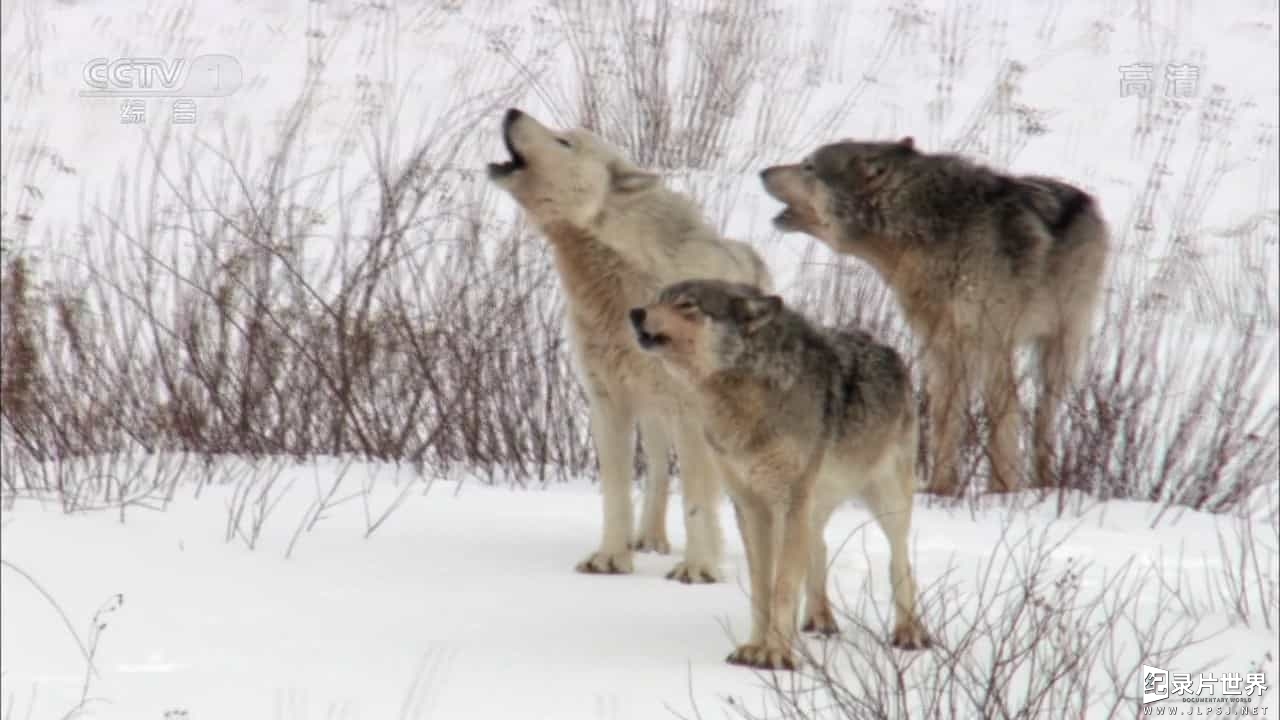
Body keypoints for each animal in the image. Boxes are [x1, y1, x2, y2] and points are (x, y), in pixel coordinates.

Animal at [486, 106, 768, 576]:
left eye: (565, 142)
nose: (511, 111)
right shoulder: (607, 403)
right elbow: (616, 494)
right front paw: (609, 559)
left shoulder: (691, 412)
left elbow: (697, 500)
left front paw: (697, 569)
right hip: (653, 414)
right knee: (657, 473)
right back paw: (650, 540)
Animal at [629, 279, 931, 666]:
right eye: (658, 299)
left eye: (687, 305)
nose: (635, 312)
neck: (745, 398)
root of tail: (888, 348)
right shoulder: (751, 506)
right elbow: (763, 587)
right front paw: (754, 647)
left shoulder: (790, 501)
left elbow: (784, 586)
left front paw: (775, 655)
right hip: (812, 506)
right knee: (820, 547)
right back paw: (819, 620)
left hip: (886, 502)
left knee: (900, 561)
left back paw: (909, 632)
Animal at [757, 136, 1111, 489]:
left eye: (808, 166)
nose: (762, 171)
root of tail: (1088, 200)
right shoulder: (941, 349)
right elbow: (945, 423)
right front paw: (942, 490)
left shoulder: (990, 343)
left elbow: (1001, 420)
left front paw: (1000, 492)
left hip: (1057, 352)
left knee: (1040, 419)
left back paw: (1043, 484)